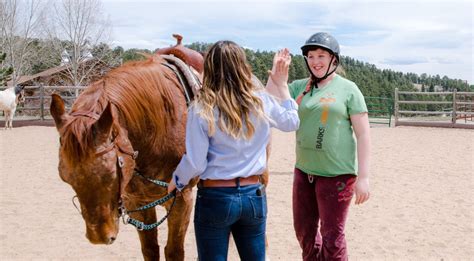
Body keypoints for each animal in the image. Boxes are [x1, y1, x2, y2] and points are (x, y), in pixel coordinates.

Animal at [51, 55, 198, 258]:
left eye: (111, 174)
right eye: (65, 178)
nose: (99, 237)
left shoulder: (182, 200)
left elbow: (174, 251)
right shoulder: (138, 202)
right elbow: (150, 249)